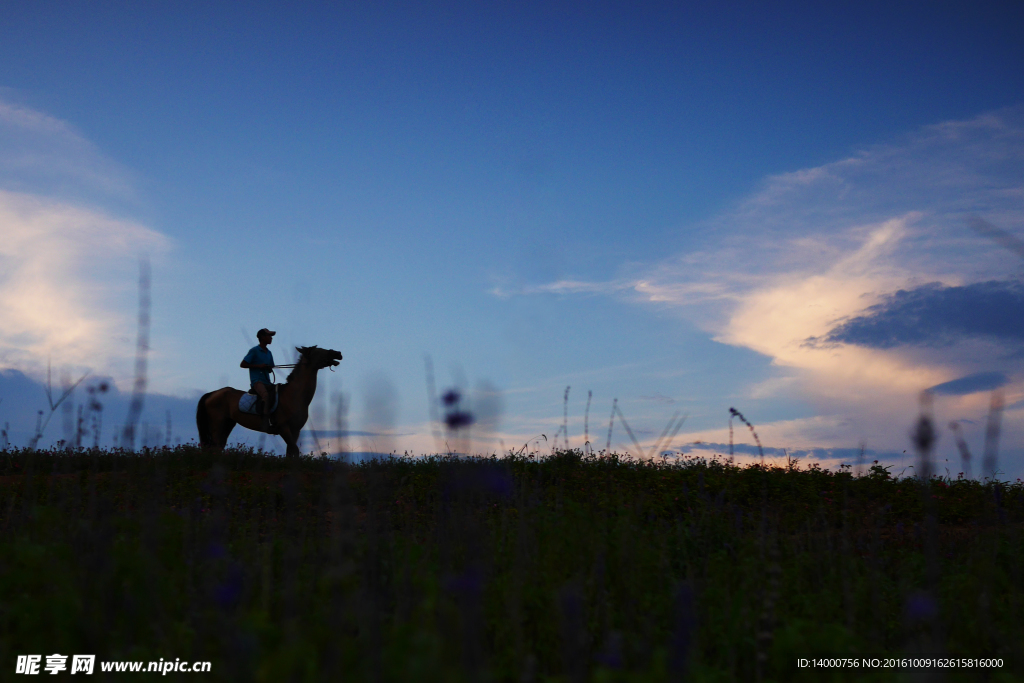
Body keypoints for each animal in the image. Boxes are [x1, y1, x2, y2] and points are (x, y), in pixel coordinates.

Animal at [195, 344, 344, 456]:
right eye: (320, 351)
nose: (338, 353)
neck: (294, 396)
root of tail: (212, 394)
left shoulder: (295, 431)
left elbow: (291, 453)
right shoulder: (283, 428)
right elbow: (295, 451)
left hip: (228, 424)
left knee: (218, 446)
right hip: (216, 424)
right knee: (214, 447)